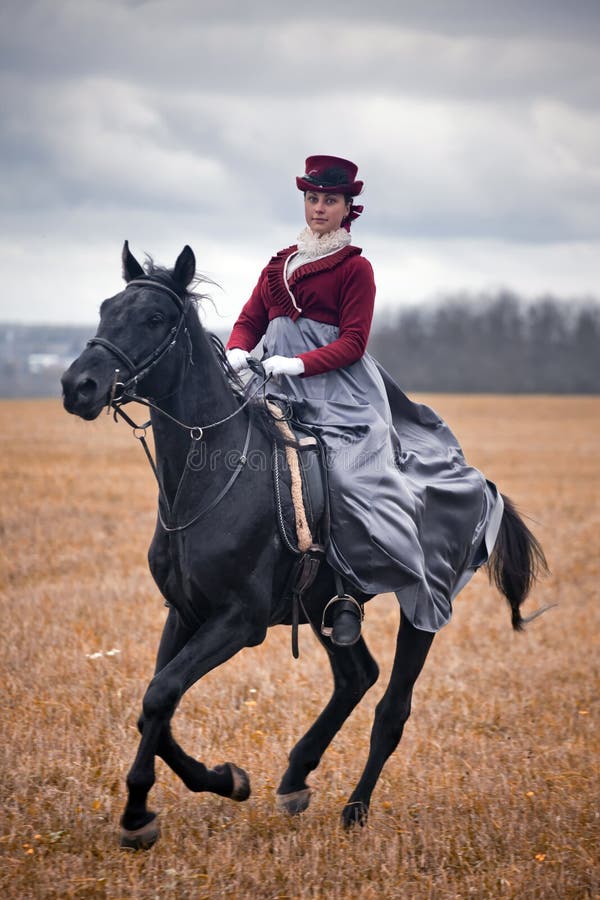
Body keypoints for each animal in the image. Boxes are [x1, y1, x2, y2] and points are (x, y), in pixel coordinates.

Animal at [62, 243, 548, 848]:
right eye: (107, 308)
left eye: (154, 317)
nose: (77, 386)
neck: (208, 477)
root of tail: (478, 482)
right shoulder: (184, 611)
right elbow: (156, 704)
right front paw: (220, 781)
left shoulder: (237, 622)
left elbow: (160, 695)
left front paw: (139, 813)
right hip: (325, 608)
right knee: (356, 676)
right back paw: (295, 777)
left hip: (423, 607)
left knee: (392, 709)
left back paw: (355, 809)